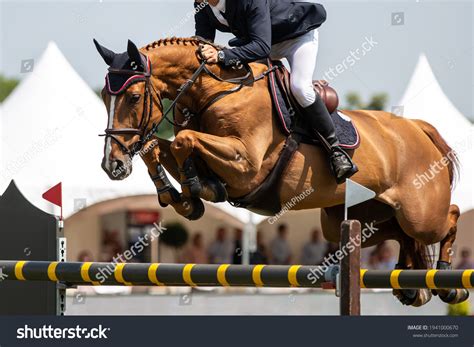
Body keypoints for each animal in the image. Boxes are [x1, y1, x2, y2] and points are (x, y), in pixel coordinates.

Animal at [94, 38, 468, 308]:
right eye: (104, 97)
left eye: (134, 96)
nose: (112, 166)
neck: (214, 92)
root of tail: (417, 128)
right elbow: (157, 147)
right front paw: (178, 196)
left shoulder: (246, 165)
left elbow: (185, 141)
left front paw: (196, 190)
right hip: (351, 219)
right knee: (399, 234)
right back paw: (411, 284)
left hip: (419, 212)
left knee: (448, 216)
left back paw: (448, 283)